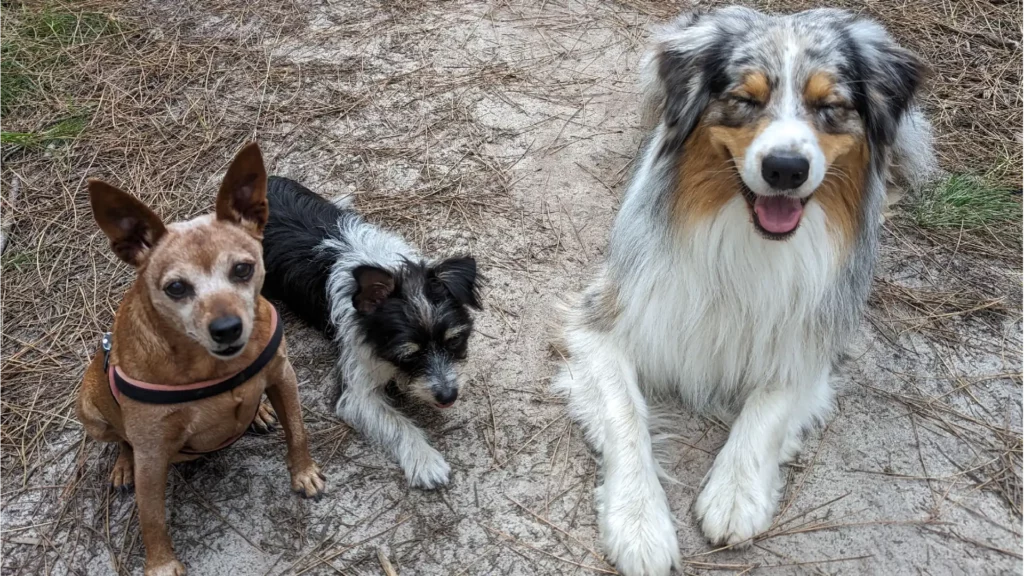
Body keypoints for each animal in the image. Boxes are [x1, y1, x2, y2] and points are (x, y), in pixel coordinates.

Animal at [75, 141, 323, 569]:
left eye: (243, 269)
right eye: (176, 288)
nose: (226, 328)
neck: (217, 368)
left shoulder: (283, 376)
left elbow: (298, 431)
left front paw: (304, 473)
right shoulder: (152, 454)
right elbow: (151, 516)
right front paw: (161, 565)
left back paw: (259, 410)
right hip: (90, 409)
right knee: (119, 440)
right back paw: (122, 466)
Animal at [260, 176, 475, 487]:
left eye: (454, 340)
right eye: (408, 355)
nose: (448, 396)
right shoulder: (356, 390)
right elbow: (397, 422)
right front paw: (425, 460)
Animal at [552, 5, 937, 573]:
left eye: (829, 106)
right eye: (746, 100)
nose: (785, 168)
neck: (747, 237)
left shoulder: (813, 336)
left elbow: (768, 407)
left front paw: (735, 494)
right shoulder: (603, 320)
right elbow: (626, 416)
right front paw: (639, 522)